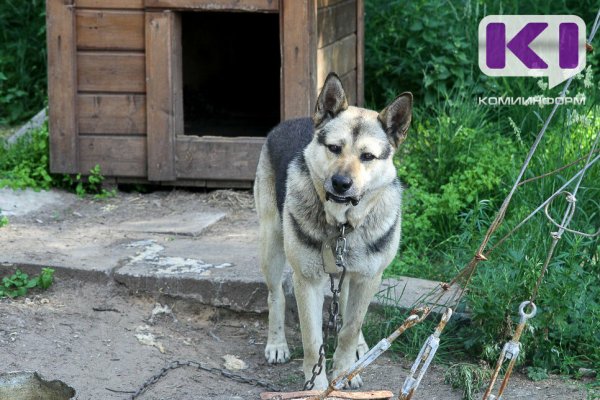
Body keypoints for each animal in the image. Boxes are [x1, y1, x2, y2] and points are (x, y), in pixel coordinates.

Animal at [253, 73, 412, 390]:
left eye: (367, 156)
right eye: (334, 148)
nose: (340, 183)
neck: (343, 227)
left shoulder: (367, 277)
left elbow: (349, 329)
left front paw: (344, 371)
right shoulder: (307, 281)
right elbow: (313, 341)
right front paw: (316, 386)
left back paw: (361, 349)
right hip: (271, 244)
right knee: (275, 295)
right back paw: (276, 343)